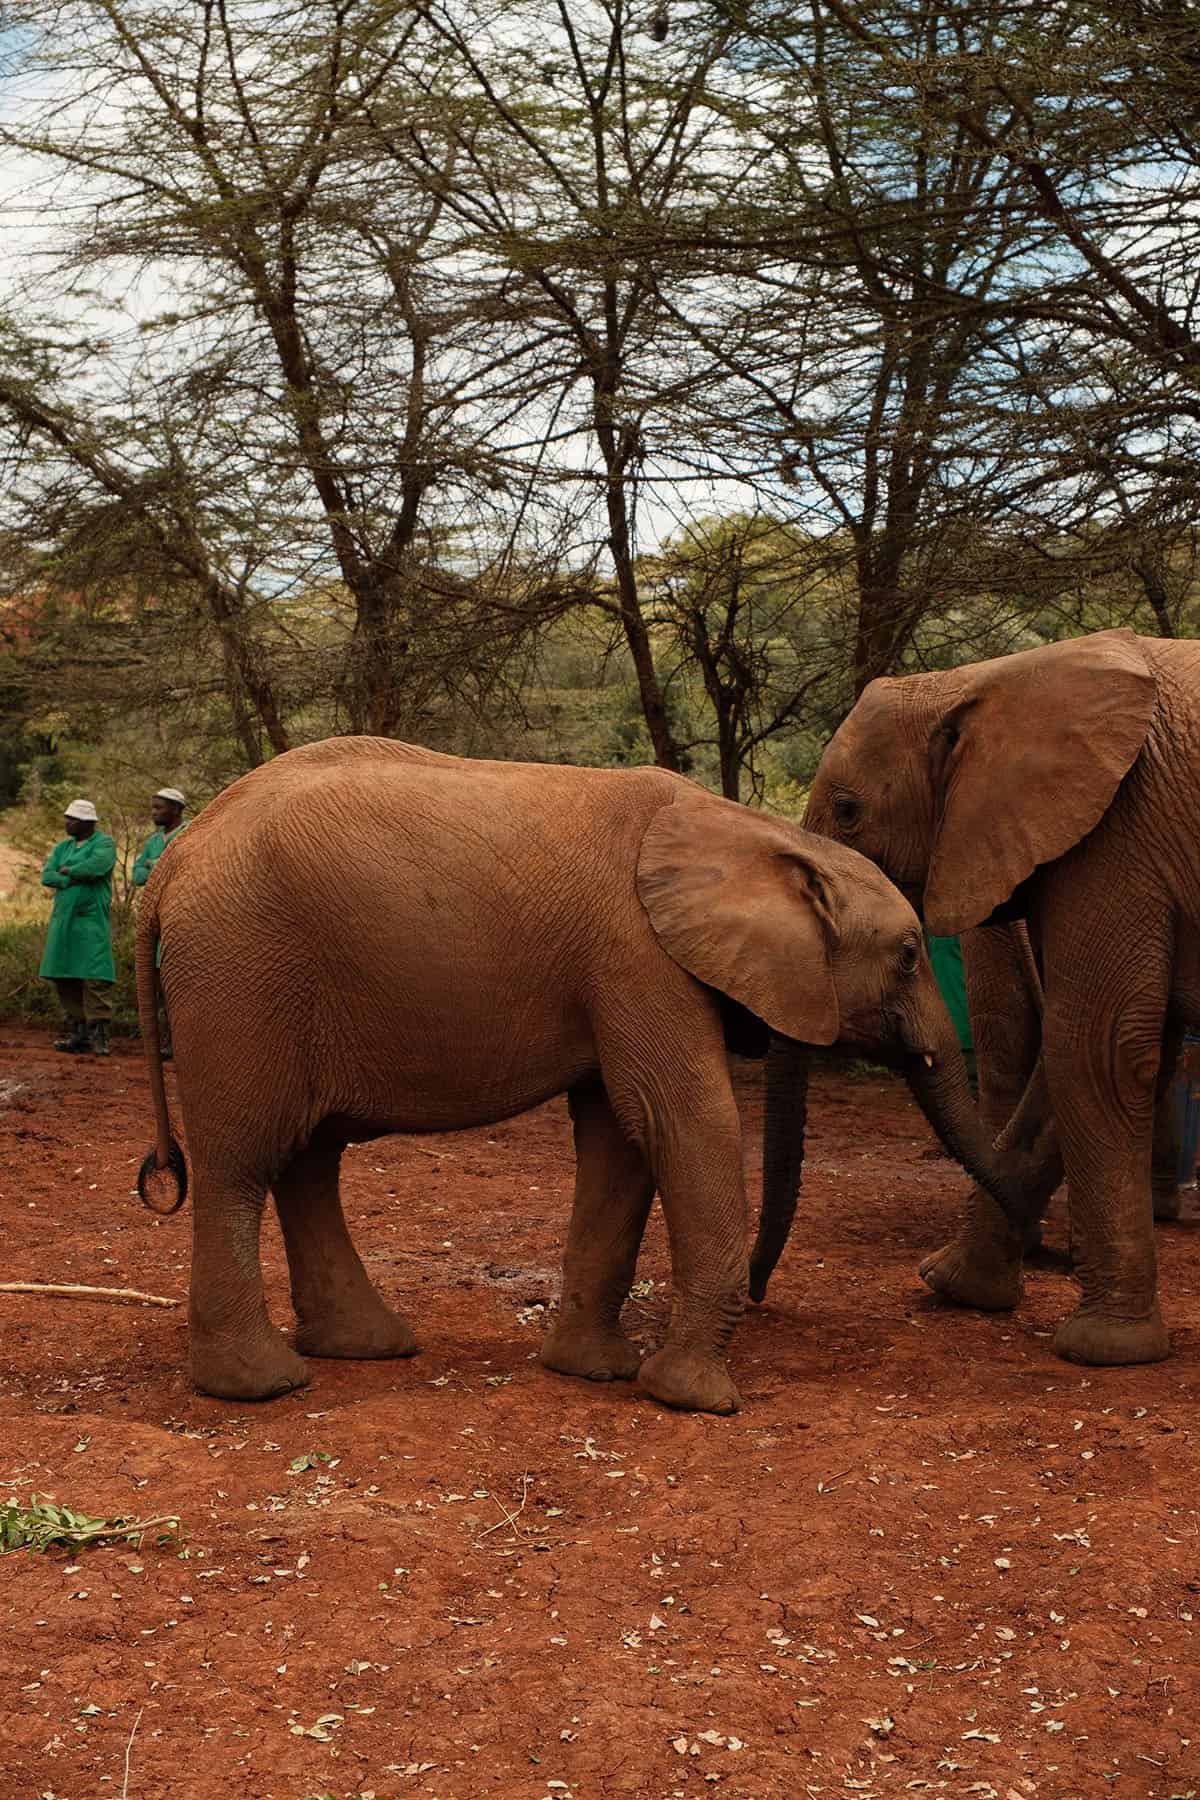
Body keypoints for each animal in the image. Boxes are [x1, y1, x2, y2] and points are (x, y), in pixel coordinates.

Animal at [134, 737, 1037, 1416]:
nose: (761, 1287)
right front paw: (696, 1400)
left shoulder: (624, 969)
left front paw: (598, 1374)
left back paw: (367, 1348)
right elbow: (681, 1119)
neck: (746, 829)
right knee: (244, 1161)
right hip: (240, 972)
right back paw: (261, 1388)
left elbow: (621, 1140)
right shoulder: (636, 953)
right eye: (912, 953)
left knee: (309, 1157)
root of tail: (174, 862)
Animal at [785, 626, 1200, 1368]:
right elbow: (1087, 1059)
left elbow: (1095, 1049)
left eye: (850, 811)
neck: (980, 680)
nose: (1057, 1258)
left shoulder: (1117, 835)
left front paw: (1104, 1348)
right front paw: (958, 1287)